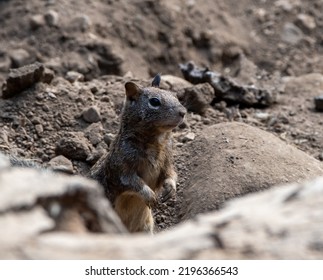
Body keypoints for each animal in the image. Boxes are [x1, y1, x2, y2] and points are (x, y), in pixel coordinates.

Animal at [91, 74, 187, 232]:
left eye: (174, 95)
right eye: (154, 101)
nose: (183, 112)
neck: (157, 141)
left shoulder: (167, 161)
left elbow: (171, 174)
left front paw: (170, 189)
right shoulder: (121, 169)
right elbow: (133, 182)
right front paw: (151, 196)